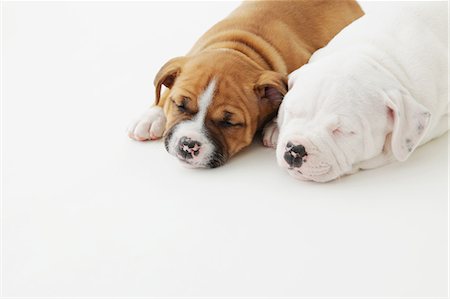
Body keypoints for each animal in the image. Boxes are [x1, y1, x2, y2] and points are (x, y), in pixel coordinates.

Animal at [126, 0, 362, 169]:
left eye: (229, 123)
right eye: (180, 105)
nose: (188, 145)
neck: (240, 48)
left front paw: (275, 127)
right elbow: (164, 91)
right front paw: (151, 116)